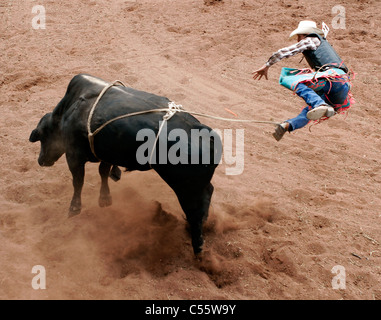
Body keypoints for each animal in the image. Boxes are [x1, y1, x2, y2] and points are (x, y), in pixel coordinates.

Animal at [29, 74, 221, 255]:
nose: (41, 160)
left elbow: (78, 182)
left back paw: (198, 246)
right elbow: (103, 172)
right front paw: (105, 197)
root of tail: (200, 129)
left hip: (186, 190)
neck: (71, 110)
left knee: (195, 213)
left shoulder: (74, 156)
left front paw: (75, 208)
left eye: (43, 137)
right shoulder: (106, 152)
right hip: (198, 186)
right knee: (207, 196)